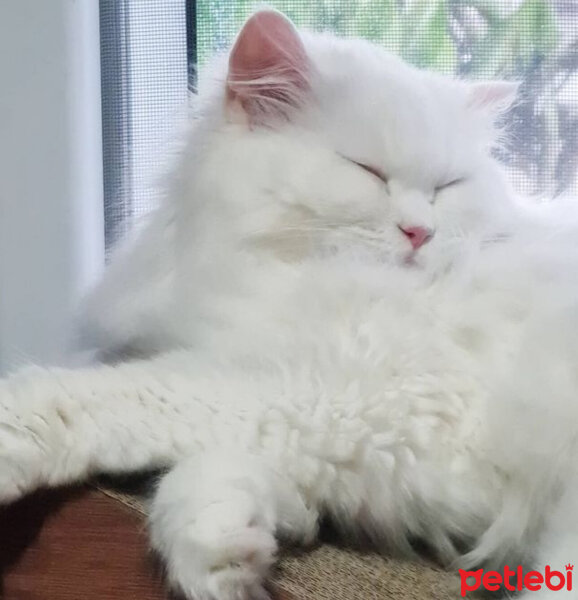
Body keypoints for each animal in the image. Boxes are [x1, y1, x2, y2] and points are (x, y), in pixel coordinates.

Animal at [1, 9, 576, 600]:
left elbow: (113, 396)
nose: (422, 232)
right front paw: (226, 559)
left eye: (446, 186)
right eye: (367, 170)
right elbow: (212, 478)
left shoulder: (336, 392)